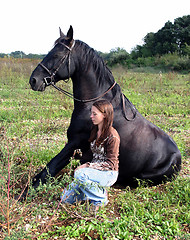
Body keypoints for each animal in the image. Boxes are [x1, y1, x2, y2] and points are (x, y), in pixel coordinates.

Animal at [28, 24, 181, 189]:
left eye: (56, 55)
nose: (34, 80)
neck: (95, 103)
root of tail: (178, 159)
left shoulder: (74, 143)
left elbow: (49, 169)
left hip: (143, 177)